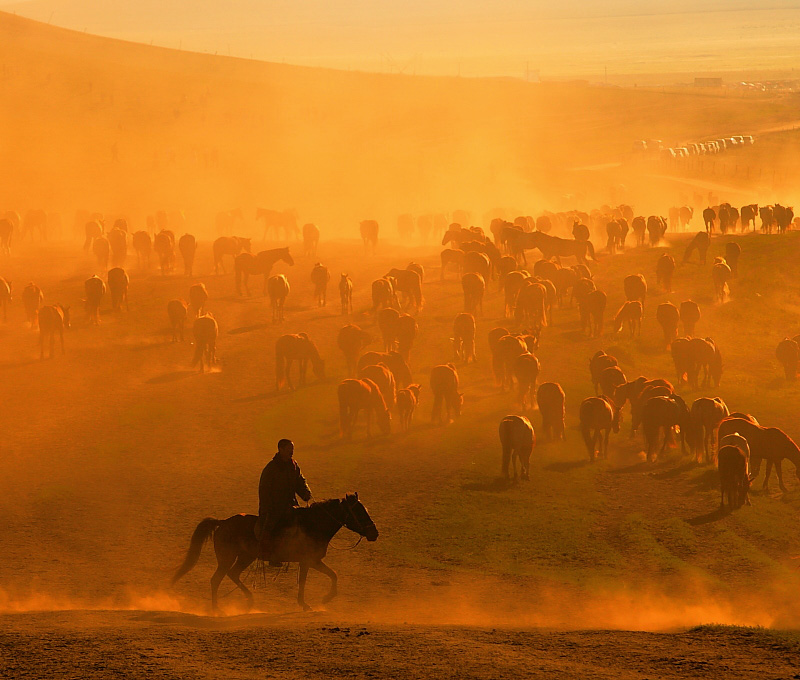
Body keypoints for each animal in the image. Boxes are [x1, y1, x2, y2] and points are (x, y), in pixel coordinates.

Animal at [173, 492, 378, 612]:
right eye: (360, 512)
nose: (374, 533)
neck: (313, 524)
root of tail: (222, 522)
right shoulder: (308, 561)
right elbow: (305, 581)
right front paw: (308, 603)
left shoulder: (314, 561)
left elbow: (333, 574)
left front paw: (326, 598)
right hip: (227, 558)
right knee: (216, 579)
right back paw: (216, 608)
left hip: (246, 557)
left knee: (233, 574)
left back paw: (249, 601)